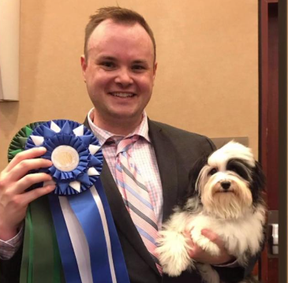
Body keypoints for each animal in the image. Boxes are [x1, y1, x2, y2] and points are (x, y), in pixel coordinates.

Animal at [156, 141, 266, 283]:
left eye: (236, 170)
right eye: (213, 171)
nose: (225, 183)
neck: (223, 206)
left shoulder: (248, 231)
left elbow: (226, 226)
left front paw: (204, 237)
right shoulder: (181, 217)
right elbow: (176, 232)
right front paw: (174, 262)